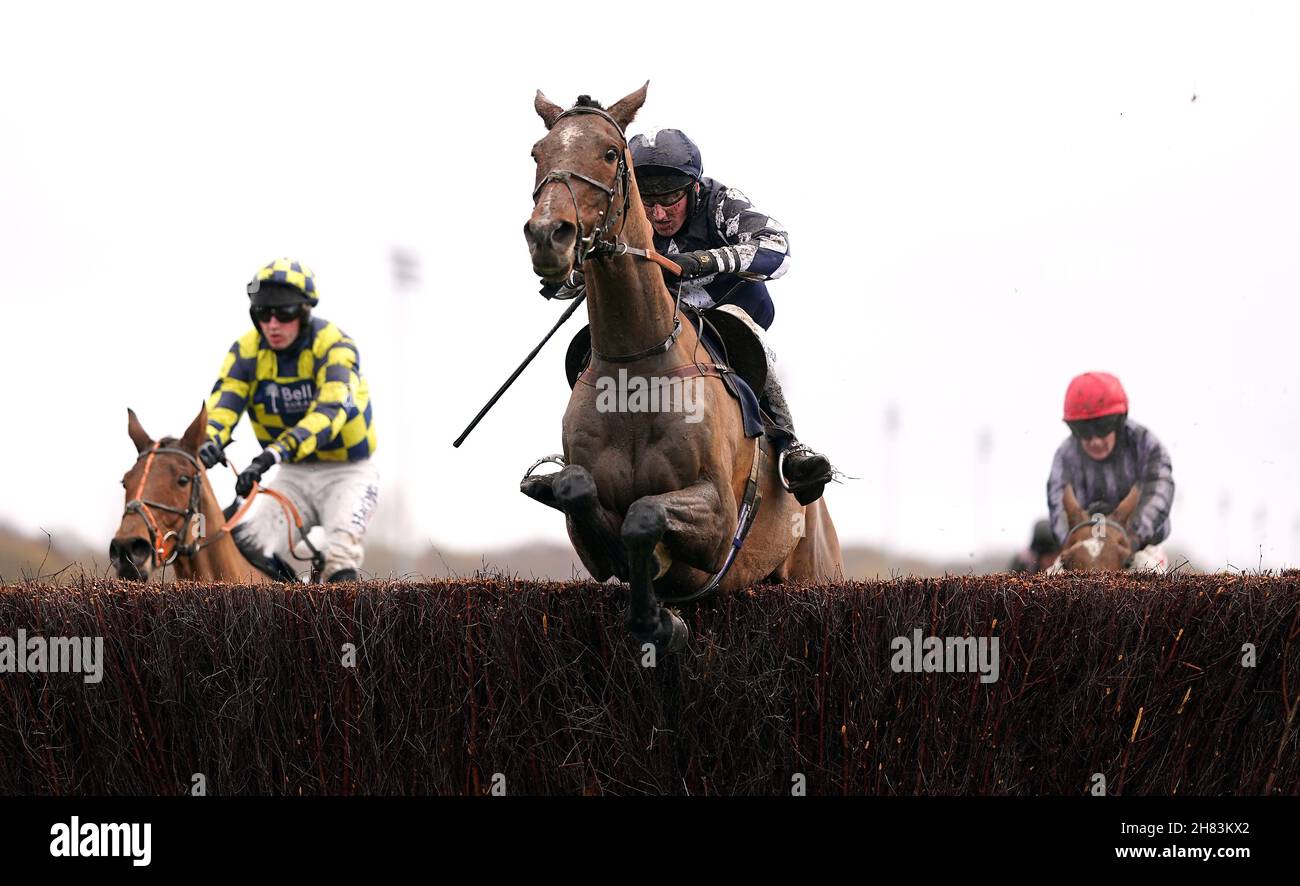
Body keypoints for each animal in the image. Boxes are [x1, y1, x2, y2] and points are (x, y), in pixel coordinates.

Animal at [522, 84, 847, 649]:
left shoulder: (716, 517)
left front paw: (659, 618)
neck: (636, 368)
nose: (547, 236)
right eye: (538, 154)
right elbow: (581, 495)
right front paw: (653, 605)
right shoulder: (586, 537)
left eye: (610, 153)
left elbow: (644, 513)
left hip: (814, 569)